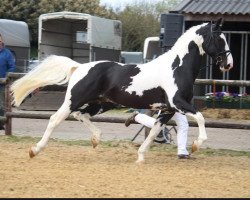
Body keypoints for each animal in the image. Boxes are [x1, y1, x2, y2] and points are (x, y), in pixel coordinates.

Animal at [10, 18, 233, 162]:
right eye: (219, 38)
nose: (228, 64)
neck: (177, 67)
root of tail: (79, 67)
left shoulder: (168, 109)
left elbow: (154, 130)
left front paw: (140, 157)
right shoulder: (178, 103)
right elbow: (201, 117)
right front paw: (196, 144)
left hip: (101, 104)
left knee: (81, 115)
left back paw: (96, 139)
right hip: (74, 100)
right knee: (56, 119)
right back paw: (35, 150)